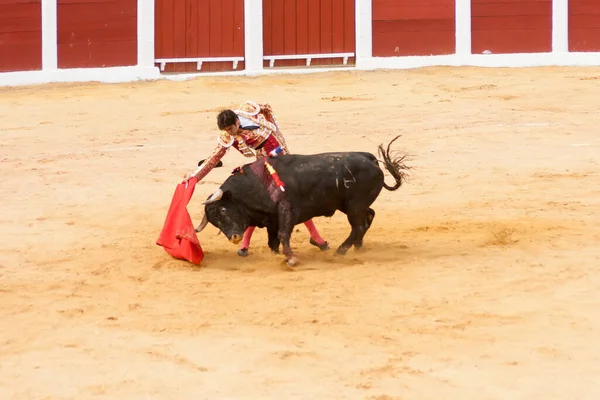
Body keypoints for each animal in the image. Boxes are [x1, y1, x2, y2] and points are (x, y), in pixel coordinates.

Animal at [195, 136, 410, 268]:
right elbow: (272, 241)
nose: (234, 237)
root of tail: (370, 159)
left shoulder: (287, 210)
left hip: (354, 206)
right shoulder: (271, 219)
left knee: (358, 225)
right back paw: (357, 247)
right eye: (214, 221)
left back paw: (341, 250)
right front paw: (276, 257)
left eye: (223, 210)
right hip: (351, 205)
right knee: (369, 216)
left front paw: (291, 259)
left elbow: (283, 234)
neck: (257, 183)